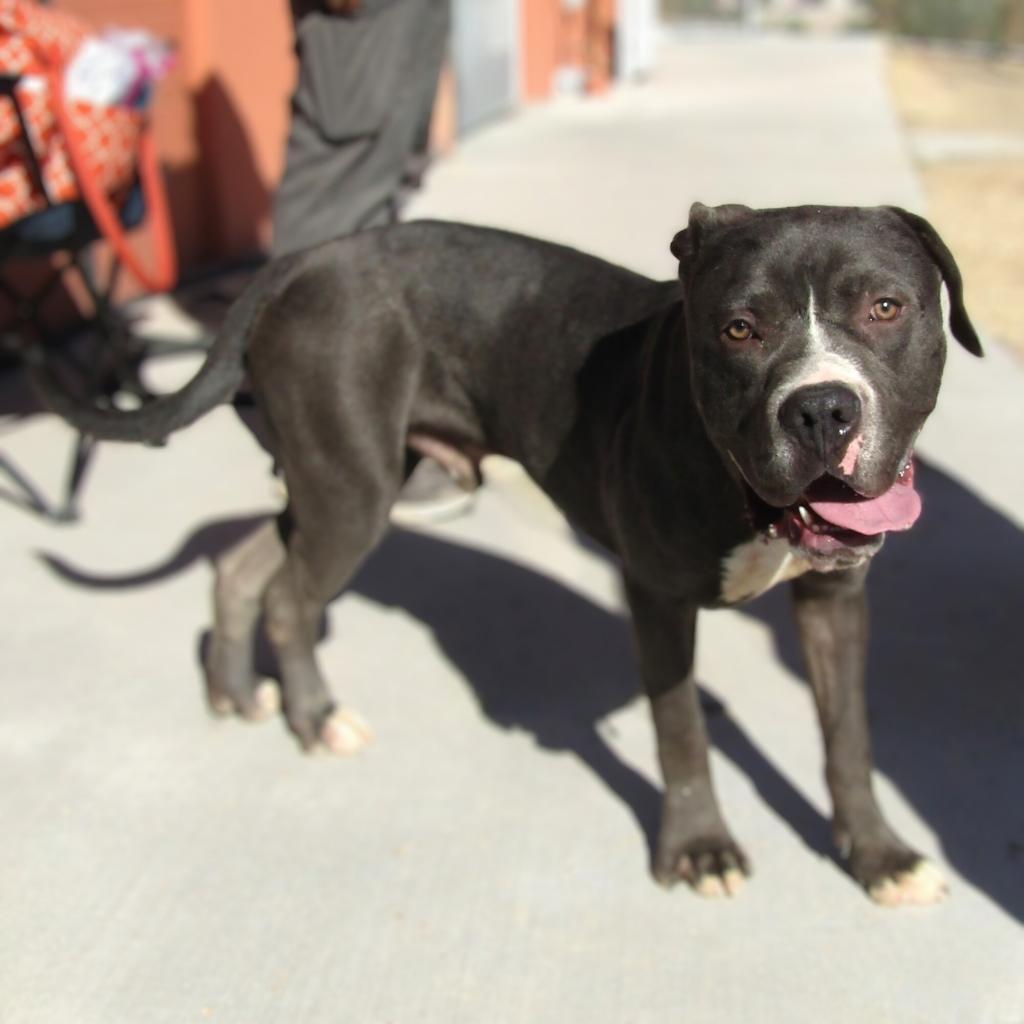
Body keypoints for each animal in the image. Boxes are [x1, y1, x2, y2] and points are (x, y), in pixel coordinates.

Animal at [36, 205, 978, 905]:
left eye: (887, 308)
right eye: (740, 328)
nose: (822, 409)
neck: (745, 493)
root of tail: (302, 263)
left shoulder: (836, 601)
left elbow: (848, 736)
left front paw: (879, 857)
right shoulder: (657, 599)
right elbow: (678, 733)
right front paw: (699, 848)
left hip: (329, 484)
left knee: (242, 568)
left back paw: (235, 693)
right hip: (350, 493)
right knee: (287, 599)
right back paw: (316, 717)